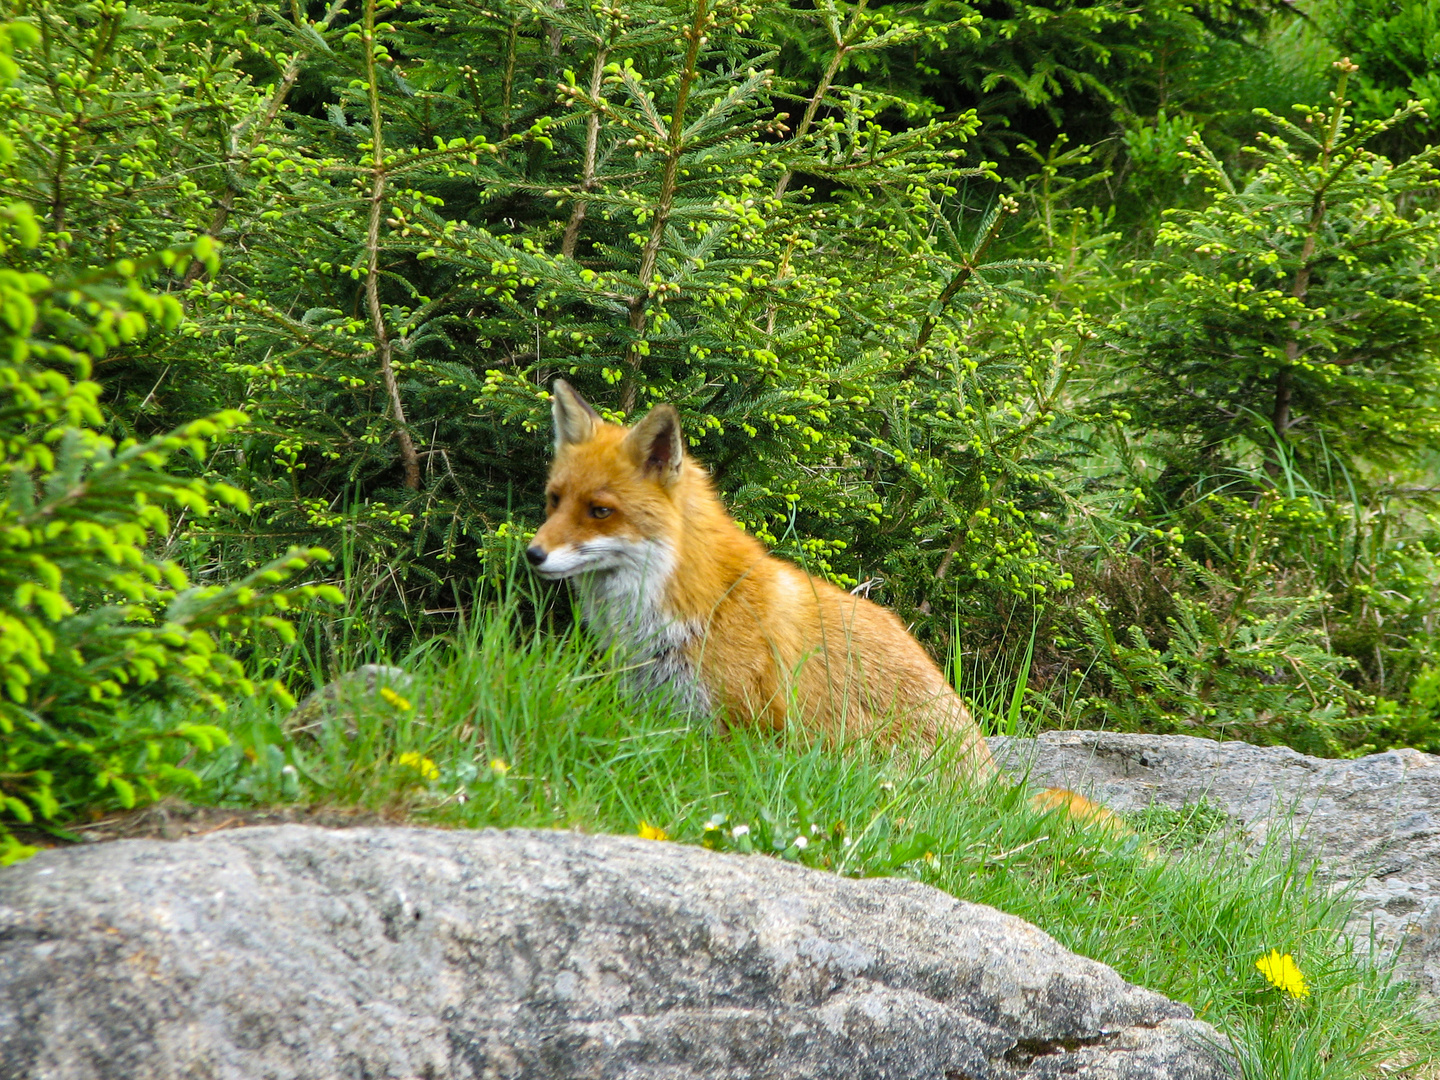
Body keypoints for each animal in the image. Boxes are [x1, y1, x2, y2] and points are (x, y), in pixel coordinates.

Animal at [529, 380, 1123, 829]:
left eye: (600, 511)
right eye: (554, 501)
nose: (532, 554)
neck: (687, 604)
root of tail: (991, 786)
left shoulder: (740, 729)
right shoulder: (659, 713)